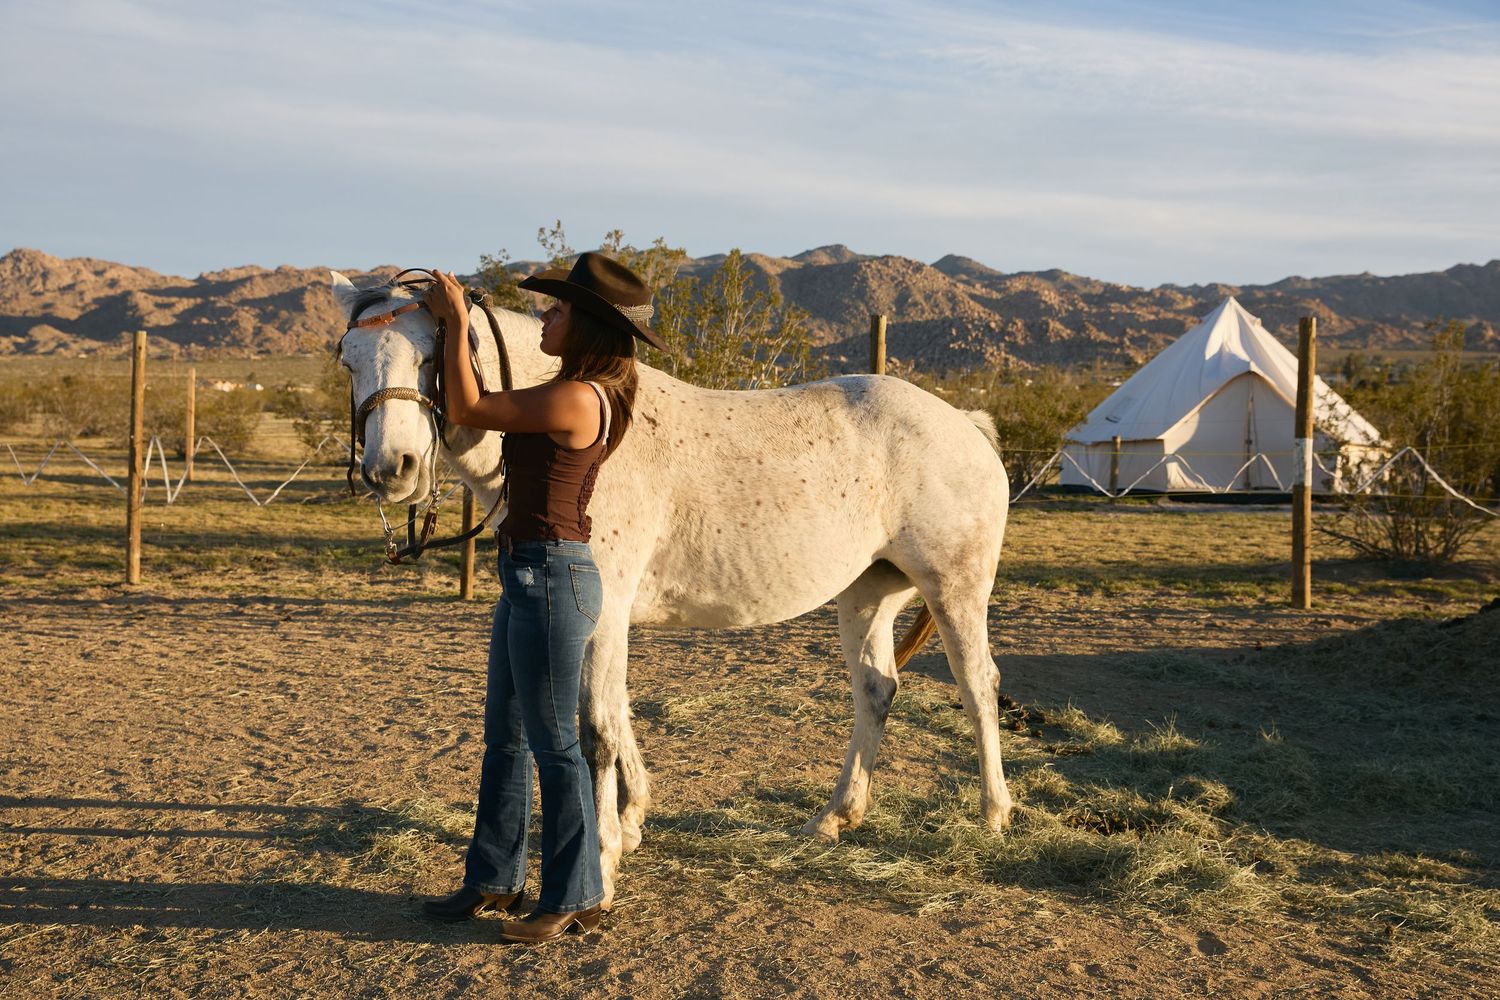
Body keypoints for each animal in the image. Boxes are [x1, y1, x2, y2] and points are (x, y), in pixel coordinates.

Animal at [329, 272, 1012, 907]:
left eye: (429, 355)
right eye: (349, 359)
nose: (392, 469)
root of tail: (965, 422)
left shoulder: (601, 610)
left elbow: (596, 727)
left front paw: (602, 862)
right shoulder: (603, 616)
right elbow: (617, 710)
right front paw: (631, 821)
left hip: (955, 589)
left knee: (979, 685)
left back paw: (992, 814)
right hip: (867, 594)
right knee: (876, 689)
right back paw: (834, 817)